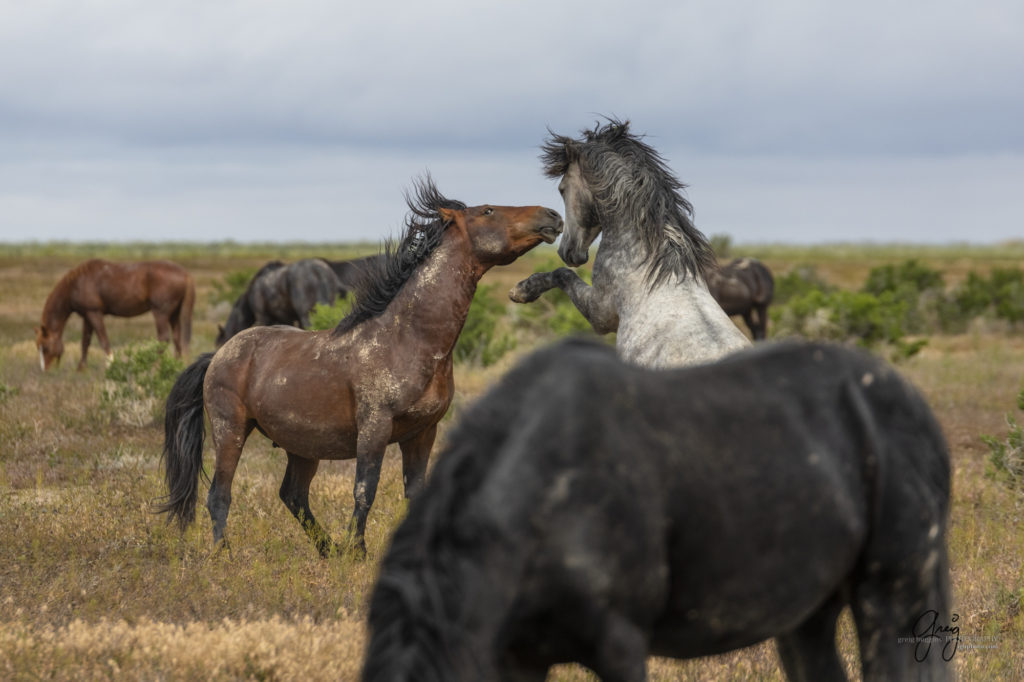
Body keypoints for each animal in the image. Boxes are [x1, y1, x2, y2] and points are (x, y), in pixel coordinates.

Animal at [35, 258, 195, 368]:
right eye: (38, 347)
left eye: (46, 347)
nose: (45, 369)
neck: (76, 284)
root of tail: (186, 274)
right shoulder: (87, 316)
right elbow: (85, 341)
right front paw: (81, 368)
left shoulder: (94, 313)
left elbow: (103, 340)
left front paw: (110, 364)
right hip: (174, 314)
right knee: (177, 338)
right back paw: (176, 364)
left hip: (161, 313)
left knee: (163, 339)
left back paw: (155, 365)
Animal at [507, 120, 749, 366]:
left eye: (562, 189)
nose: (567, 251)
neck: (647, 259)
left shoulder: (600, 313)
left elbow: (562, 274)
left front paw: (522, 290)